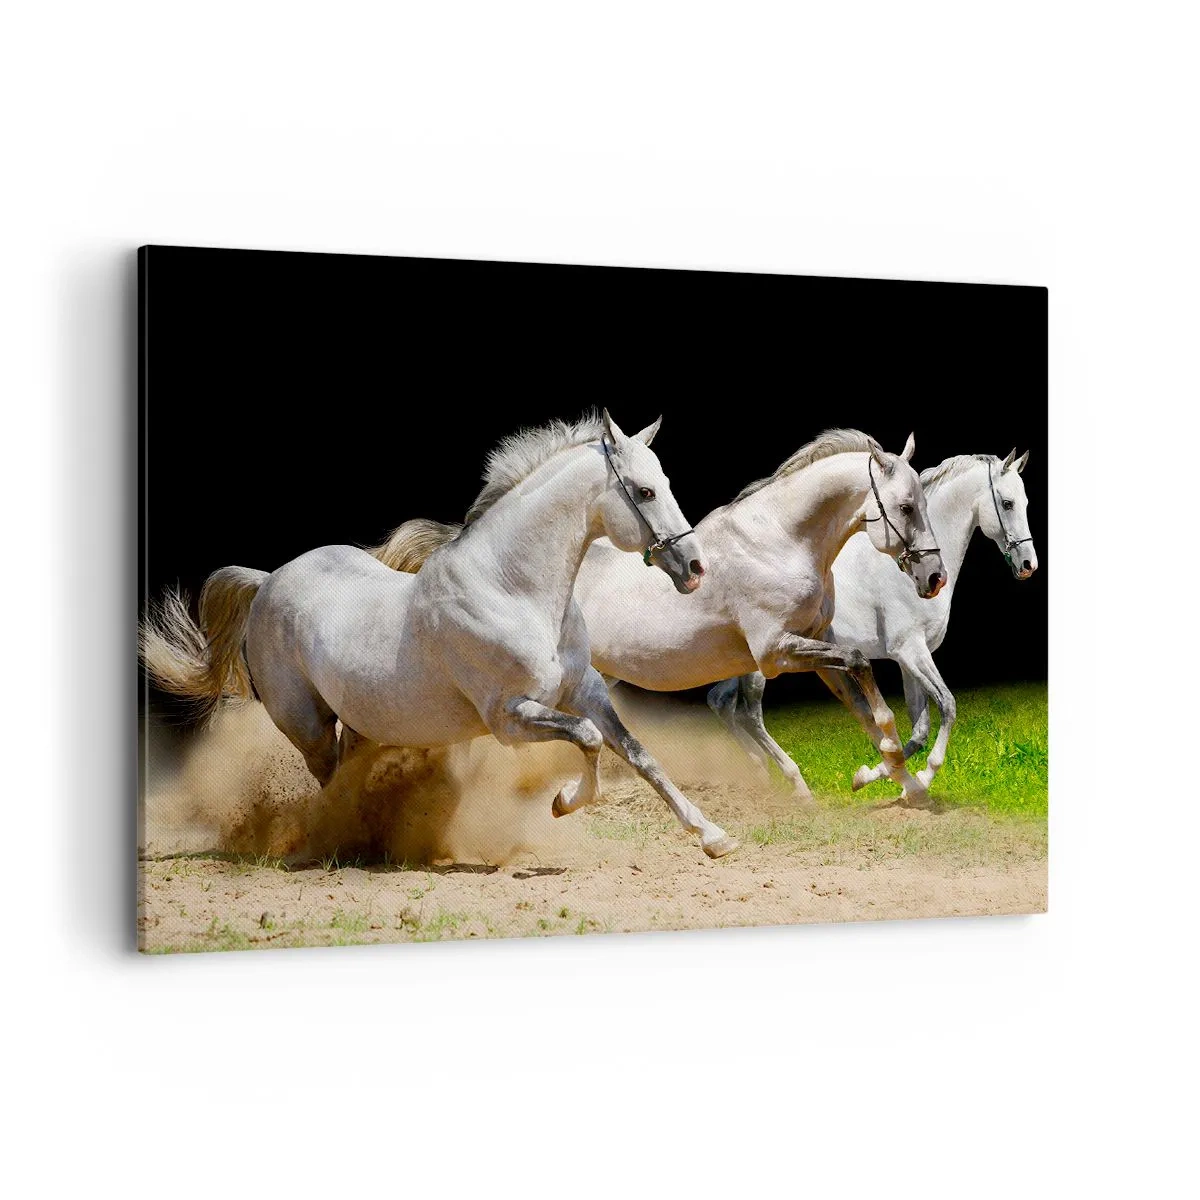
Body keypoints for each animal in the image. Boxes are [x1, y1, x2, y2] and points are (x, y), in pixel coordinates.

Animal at [140, 411, 741, 859]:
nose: (694, 567)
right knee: (328, 782)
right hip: (307, 725)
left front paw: (714, 837)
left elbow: (637, 753)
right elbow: (590, 741)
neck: (512, 588)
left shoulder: (585, 690)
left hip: (362, 721)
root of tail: (267, 581)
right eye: (644, 491)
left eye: (665, 484)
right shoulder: (509, 718)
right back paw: (333, 844)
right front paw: (563, 802)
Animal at [377, 429, 947, 805]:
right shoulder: (776, 652)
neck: (781, 541)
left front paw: (903, 782)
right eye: (905, 506)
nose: (935, 577)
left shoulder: (815, 644)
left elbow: (866, 705)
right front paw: (892, 766)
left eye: (923, 502)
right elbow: (863, 669)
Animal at [707, 448, 1038, 797]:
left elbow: (919, 729)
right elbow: (947, 705)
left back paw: (759, 772)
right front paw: (920, 776)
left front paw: (877, 776)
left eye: (1025, 501)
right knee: (749, 715)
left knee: (720, 701)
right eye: (1007, 503)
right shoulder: (911, 651)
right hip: (765, 664)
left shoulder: (908, 660)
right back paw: (793, 781)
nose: (1028, 564)